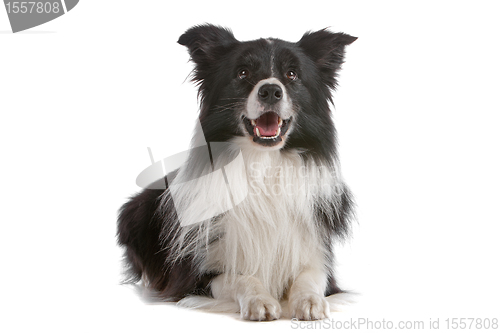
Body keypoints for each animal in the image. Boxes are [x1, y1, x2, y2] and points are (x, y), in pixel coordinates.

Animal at [117, 24, 356, 320]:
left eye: (292, 74)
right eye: (243, 72)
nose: (270, 91)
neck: (262, 165)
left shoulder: (317, 255)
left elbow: (311, 277)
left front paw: (310, 301)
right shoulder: (195, 275)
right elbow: (238, 277)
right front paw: (259, 300)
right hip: (135, 212)